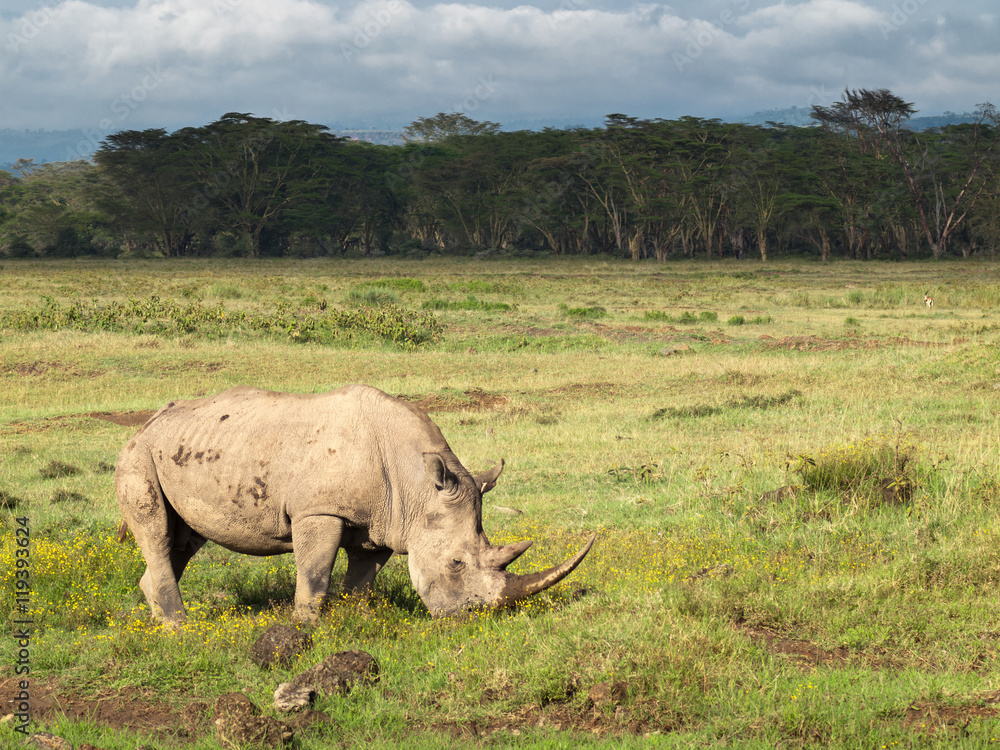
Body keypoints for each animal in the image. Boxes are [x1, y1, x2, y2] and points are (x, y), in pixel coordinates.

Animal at [116, 384, 594, 625]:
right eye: (456, 564)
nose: (472, 617)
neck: (418, 485)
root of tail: (148, 423)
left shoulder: (384, 523)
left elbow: (361, 580)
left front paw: (357, 619)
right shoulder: (318, 510)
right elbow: (314, 575)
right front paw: (306, 630)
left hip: (183, 449)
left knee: (181, 540)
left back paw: (159, 621)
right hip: (139, 455)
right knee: (157, 530)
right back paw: (181, 627)